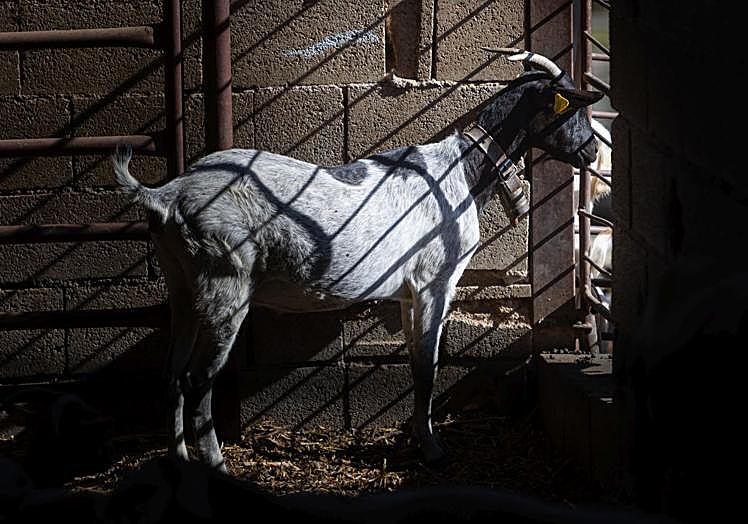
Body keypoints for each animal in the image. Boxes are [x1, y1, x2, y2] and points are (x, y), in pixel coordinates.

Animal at [112, 49, 603, 470]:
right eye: (574, 108)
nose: (593, 152)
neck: (463, 171)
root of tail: (168, 195)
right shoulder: (435, 281)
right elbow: (428, 366)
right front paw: (433, 449)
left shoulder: (407, 292)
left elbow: (415, 361)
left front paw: (418, 438)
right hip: (223, 283)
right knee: (198, 381)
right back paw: (216, 465)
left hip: (181, 282)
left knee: (173, 373)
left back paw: (179, 459)